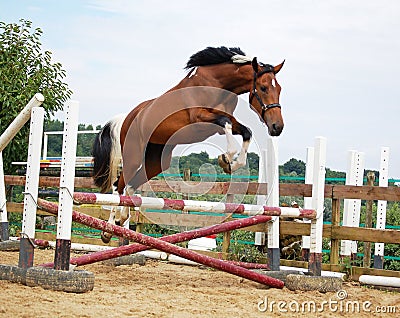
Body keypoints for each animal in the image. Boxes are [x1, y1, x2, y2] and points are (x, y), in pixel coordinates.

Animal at [91, 46, 284, 242]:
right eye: (263, 88)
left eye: (279, 89)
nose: (277, 127)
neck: (218, 84)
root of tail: (128, 117)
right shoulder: (200, 119)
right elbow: (226, 123)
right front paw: (227, 158)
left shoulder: (221, 123)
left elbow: (245, 131)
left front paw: (232, 163)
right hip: (134, 155)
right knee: (119, 185)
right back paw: (108, 229)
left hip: (158, 159)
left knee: (131, 185)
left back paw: (120, 219)